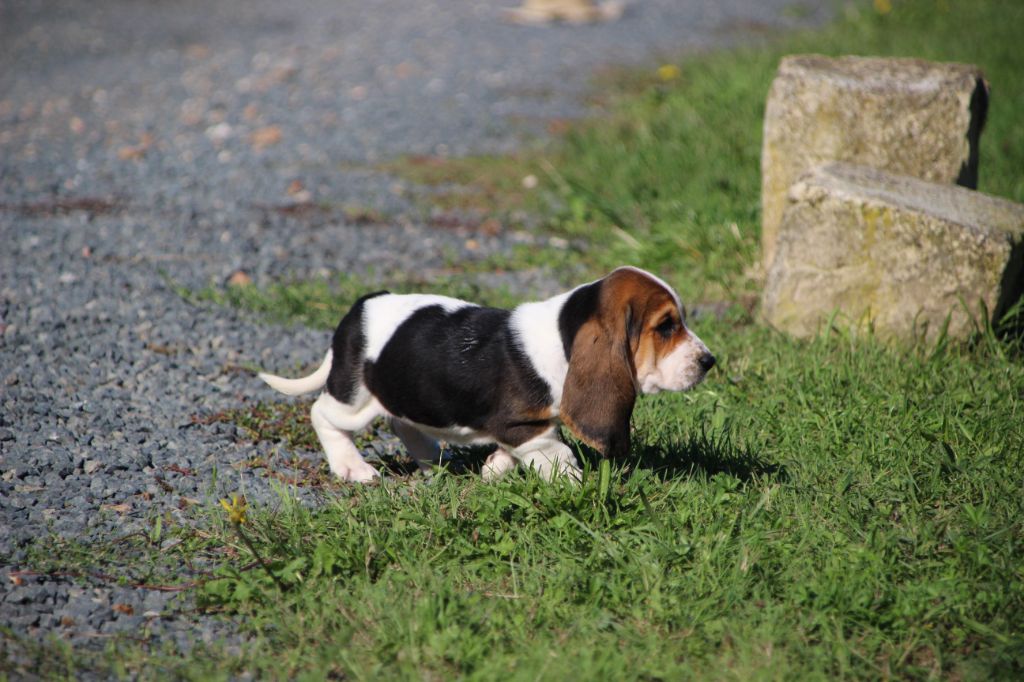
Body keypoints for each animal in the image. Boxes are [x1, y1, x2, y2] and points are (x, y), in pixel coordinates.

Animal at [258, 266, 715, 483]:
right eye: (666, 326)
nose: (709, 360)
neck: (562, 336)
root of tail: (361, 307)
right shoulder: (519, 423)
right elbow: (556, 449)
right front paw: (570, 481)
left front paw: (494, 468)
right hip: (355, 397)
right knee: (322, 414)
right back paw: (352, 468)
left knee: (401, 421)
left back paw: (432, 460)